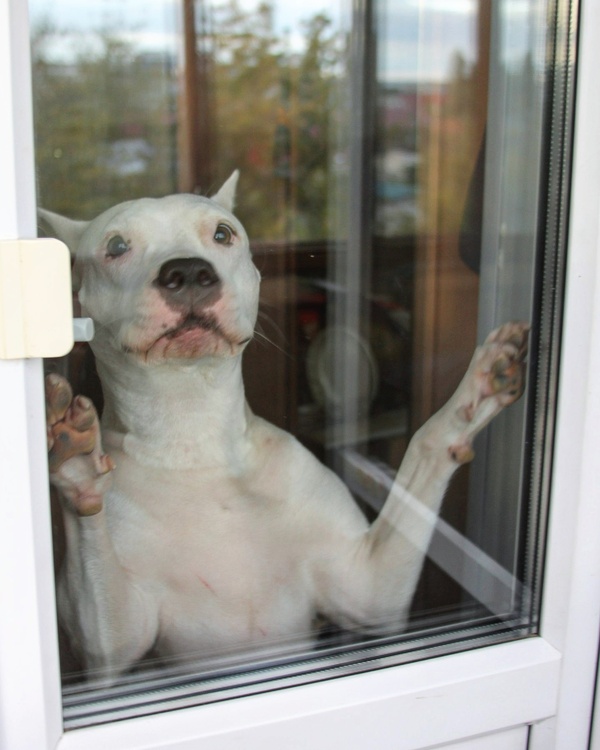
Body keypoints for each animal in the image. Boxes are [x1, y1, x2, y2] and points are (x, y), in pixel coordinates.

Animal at [43, 173, 528, 684]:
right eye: (116, 246)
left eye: (222, 234)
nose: (188, 272)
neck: (193, 438)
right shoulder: (112, 648)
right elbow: (103, 602)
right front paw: (74, 466)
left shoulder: (369, 587)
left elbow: (424, 447)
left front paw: (474, 392)